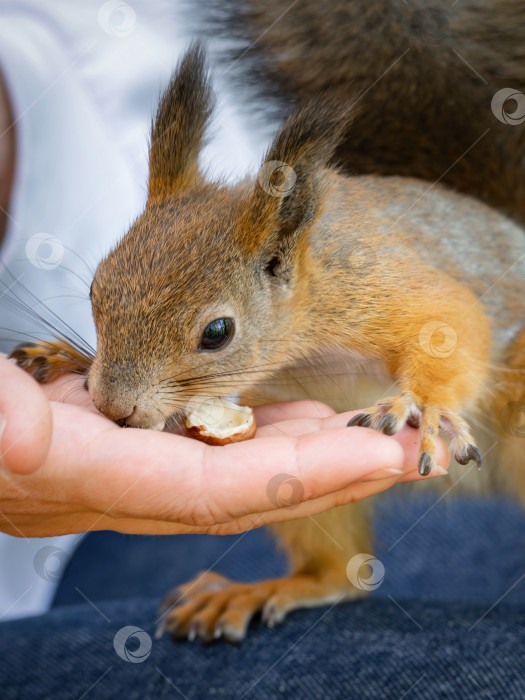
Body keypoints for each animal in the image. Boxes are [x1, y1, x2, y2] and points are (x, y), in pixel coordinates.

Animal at [10, 23, 524, 644]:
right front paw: (64, 357)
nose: (113, 405)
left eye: (217, 332)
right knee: (338, 575)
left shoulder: (379, 285)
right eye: (95, 289)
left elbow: (452, 318)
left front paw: (422, 405)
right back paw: (273, 588)